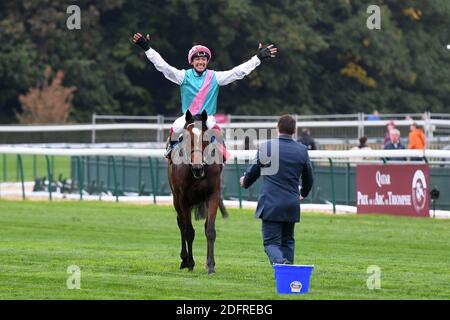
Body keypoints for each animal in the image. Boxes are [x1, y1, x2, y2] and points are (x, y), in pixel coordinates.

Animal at [167, 110, 223, 276]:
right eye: (185, 138)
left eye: (206, 138)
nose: (198, 168)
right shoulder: (183, 198)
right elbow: (189, 231)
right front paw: (191, 263)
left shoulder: (213, 195)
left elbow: (210, 230)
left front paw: (210, 265)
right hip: (176, 199)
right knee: (181, 224)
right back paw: (184, 260)